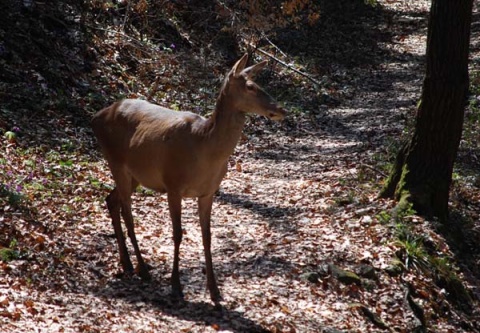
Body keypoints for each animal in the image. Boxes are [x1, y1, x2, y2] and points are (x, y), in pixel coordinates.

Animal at [91, 53, 284, 304]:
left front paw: (215, 291)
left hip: (135, 174)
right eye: (250, 86)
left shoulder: (209, 192)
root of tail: (95, 117)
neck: (204, 148)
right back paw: (142, 268)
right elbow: (177, 234)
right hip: (116, 161)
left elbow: (207, 236)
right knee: (127, 213)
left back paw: (126, 264)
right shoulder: (173, 185)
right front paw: (176, 286)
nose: (280, 109)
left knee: (111, 200)